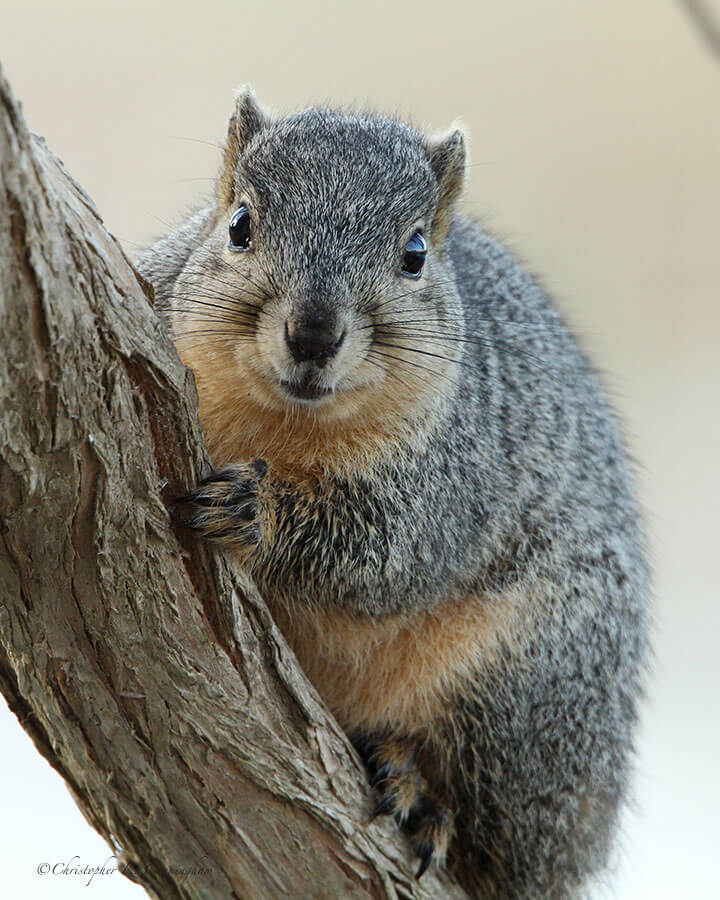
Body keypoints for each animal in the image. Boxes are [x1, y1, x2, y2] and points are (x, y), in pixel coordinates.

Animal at [135, 86, 648, 900]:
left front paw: (254, 512)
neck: (285, 420)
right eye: (239, 224)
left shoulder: (452, 480)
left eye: (414, 255)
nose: (313, 335)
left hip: (524, 685)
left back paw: (421, 792)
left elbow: (384, 551)